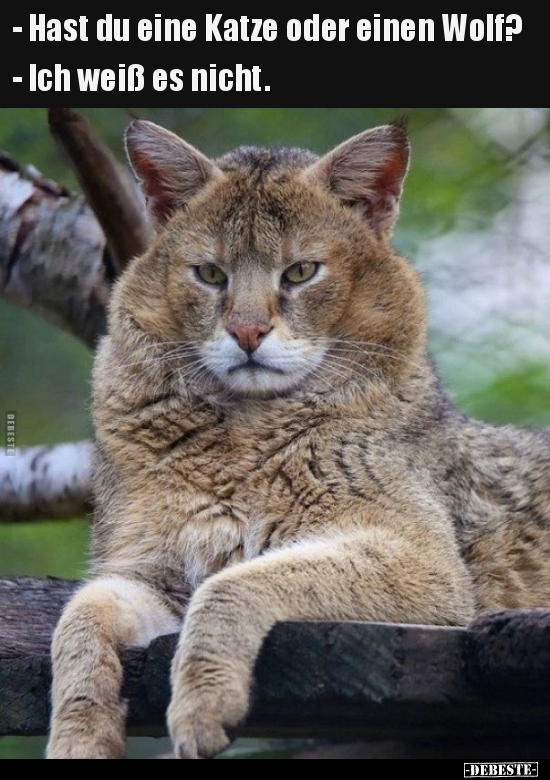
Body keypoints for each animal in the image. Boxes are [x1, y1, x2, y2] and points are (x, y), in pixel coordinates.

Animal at [46, 122, 550, 760]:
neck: (241, 434)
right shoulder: (147, 573)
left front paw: (202, 701)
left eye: (301, 272)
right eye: (210, 274)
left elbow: (234, 581)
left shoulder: (425, 564)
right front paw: (77, 738)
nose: (247, 332)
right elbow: (77, 618)